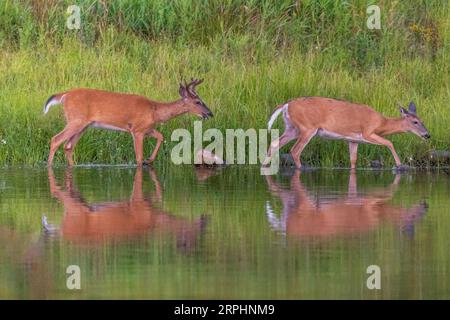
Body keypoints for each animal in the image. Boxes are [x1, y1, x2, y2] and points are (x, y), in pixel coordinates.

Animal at [44, 79, 213, 166]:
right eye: (198, 102)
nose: (210, 113)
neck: (155, 110)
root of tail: (64, 95)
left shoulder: (147, 128)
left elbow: (161, 136)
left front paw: (150, 160)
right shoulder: (137, 130)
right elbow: (138, 157)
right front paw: (145, 161)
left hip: (84, 126)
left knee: (68, 146)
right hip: (76, 121)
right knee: (55, 139)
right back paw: (49, 166)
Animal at [262, 98, 430, 170]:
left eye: (422, 120)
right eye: (415, 122)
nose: (427, 135)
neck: (381, 123)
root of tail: (286, 105)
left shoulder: (353, 140)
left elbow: (353, 160)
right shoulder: (367, 132)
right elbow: (390, 142)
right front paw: (400, 165)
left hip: (292, 128)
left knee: (275, 143)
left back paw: (264, 165)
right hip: (307, 127)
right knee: (295, 150)